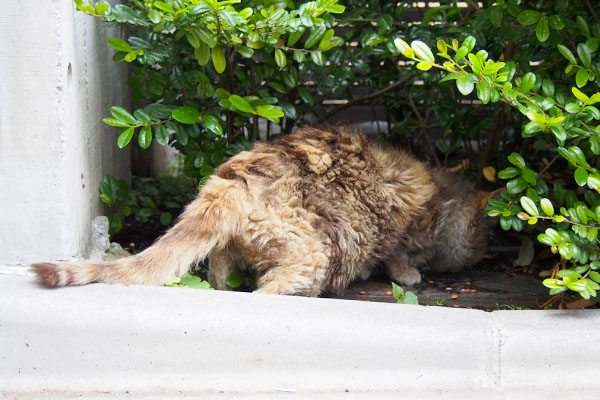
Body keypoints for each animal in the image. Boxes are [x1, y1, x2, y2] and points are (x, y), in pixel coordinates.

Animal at [32, 126, 490, 296]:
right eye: (481, 236)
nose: (481, 255)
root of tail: (235, 177)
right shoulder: (399, 225)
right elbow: (396, 253)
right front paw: (409, 271)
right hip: (311, 252)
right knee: (269, 291)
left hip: (228, 251)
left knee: (219, 276)